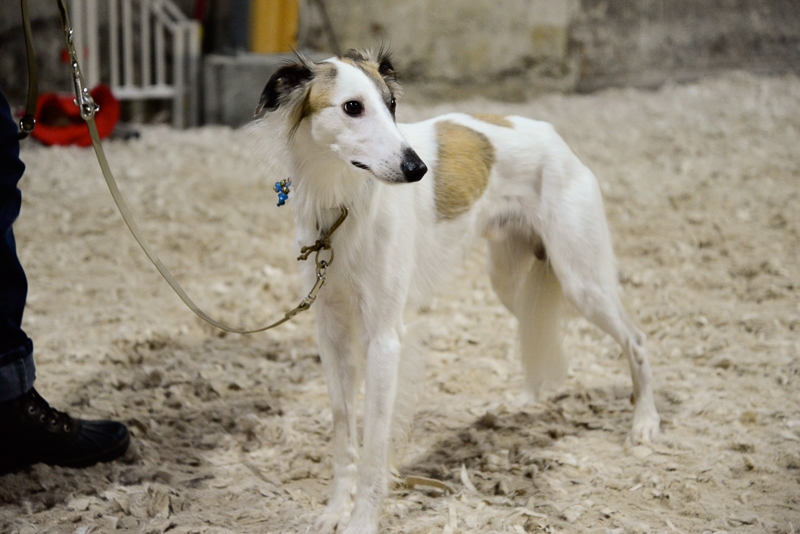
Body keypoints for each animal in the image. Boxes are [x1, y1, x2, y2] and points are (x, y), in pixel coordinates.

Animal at [253, 48, 660, 534]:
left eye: (392, 104)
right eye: (352, 107)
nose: (418, 170)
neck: (342, 206)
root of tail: (553, 135)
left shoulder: (385, 338)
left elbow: (374, 440)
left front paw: (362, 520)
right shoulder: (330, 331)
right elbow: (343, 430)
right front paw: (336, 510)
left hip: (582, 281)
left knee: (637, 340)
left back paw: (644, 422)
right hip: (509, 281)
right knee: (538, 330)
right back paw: (525, 400)